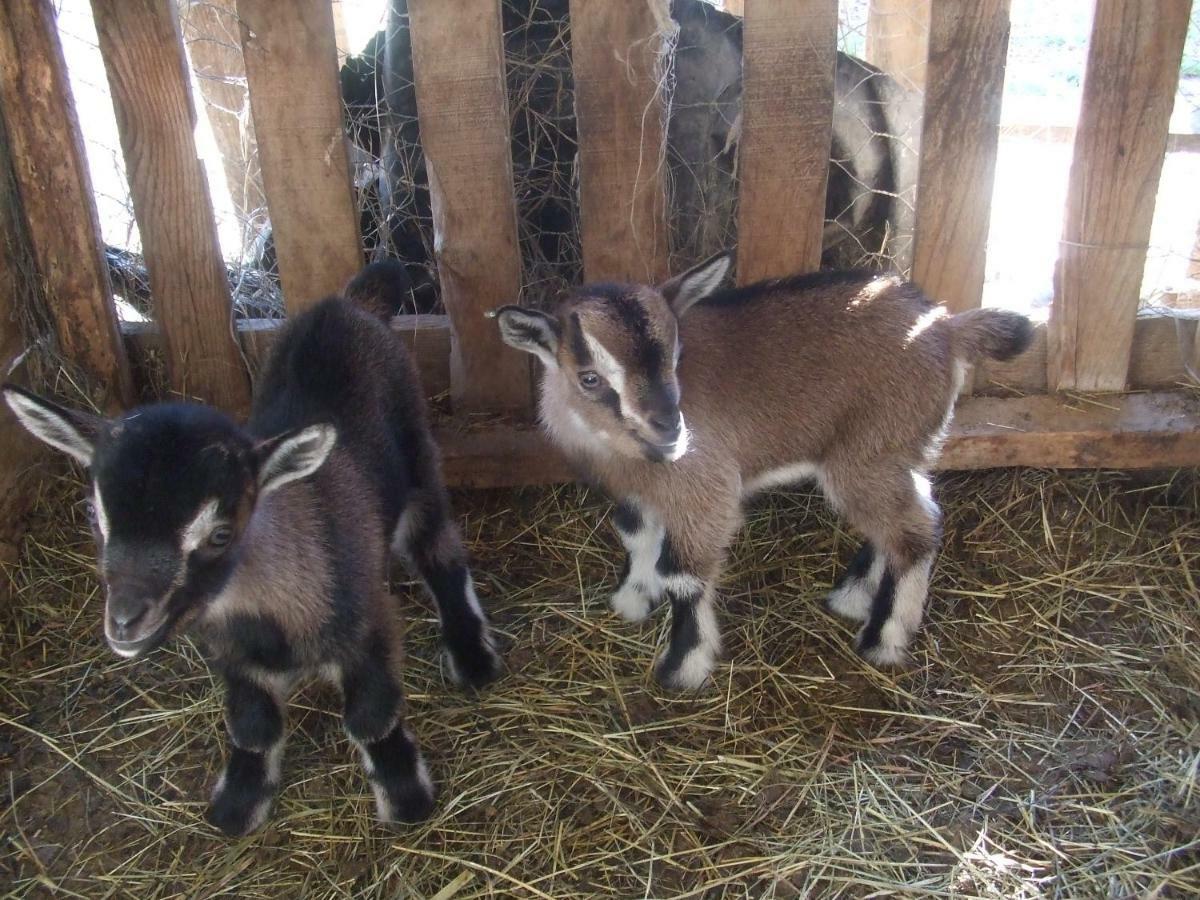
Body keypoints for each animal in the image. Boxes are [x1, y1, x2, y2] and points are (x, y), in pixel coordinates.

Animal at [4, 266, 501, 840]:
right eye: (93, 514)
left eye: (220, 533)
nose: (126, 621)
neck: (271, 618)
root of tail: (351, 303)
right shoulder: (230, 655)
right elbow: (253, 725)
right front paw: (239, 802)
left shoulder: (369, 628)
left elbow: (372, 717)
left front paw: (404, 797)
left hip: (417, 457)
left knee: (437, 550)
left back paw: (471, 652)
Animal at [494, 256, 1032, 696]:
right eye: (589, 378)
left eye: (676, 358)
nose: (671, 430)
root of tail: (949, 327)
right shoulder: (635, 492)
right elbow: (635, 537)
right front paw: (631, 600)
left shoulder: (705, 490)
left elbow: (684, 575)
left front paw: (682, 668)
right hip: (892, 454)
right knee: (907, 520)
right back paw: (854, 597)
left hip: (868, 453)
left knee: (914, 532)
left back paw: (883, 640)